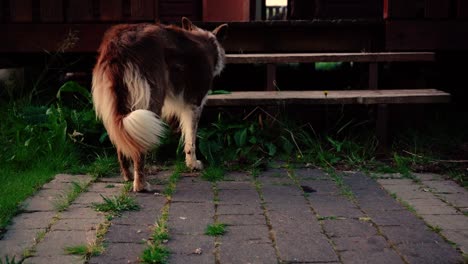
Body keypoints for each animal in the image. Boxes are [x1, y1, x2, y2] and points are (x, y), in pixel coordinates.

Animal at [92, 18, 228, 192]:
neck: (208, 42)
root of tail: (119, 44)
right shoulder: (195, 103)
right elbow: (191, 139)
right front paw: (193, 164)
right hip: (153, 99)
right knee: (139, 148)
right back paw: (141, 185)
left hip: (122, 101)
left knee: (122, 139)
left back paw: (128, 176)